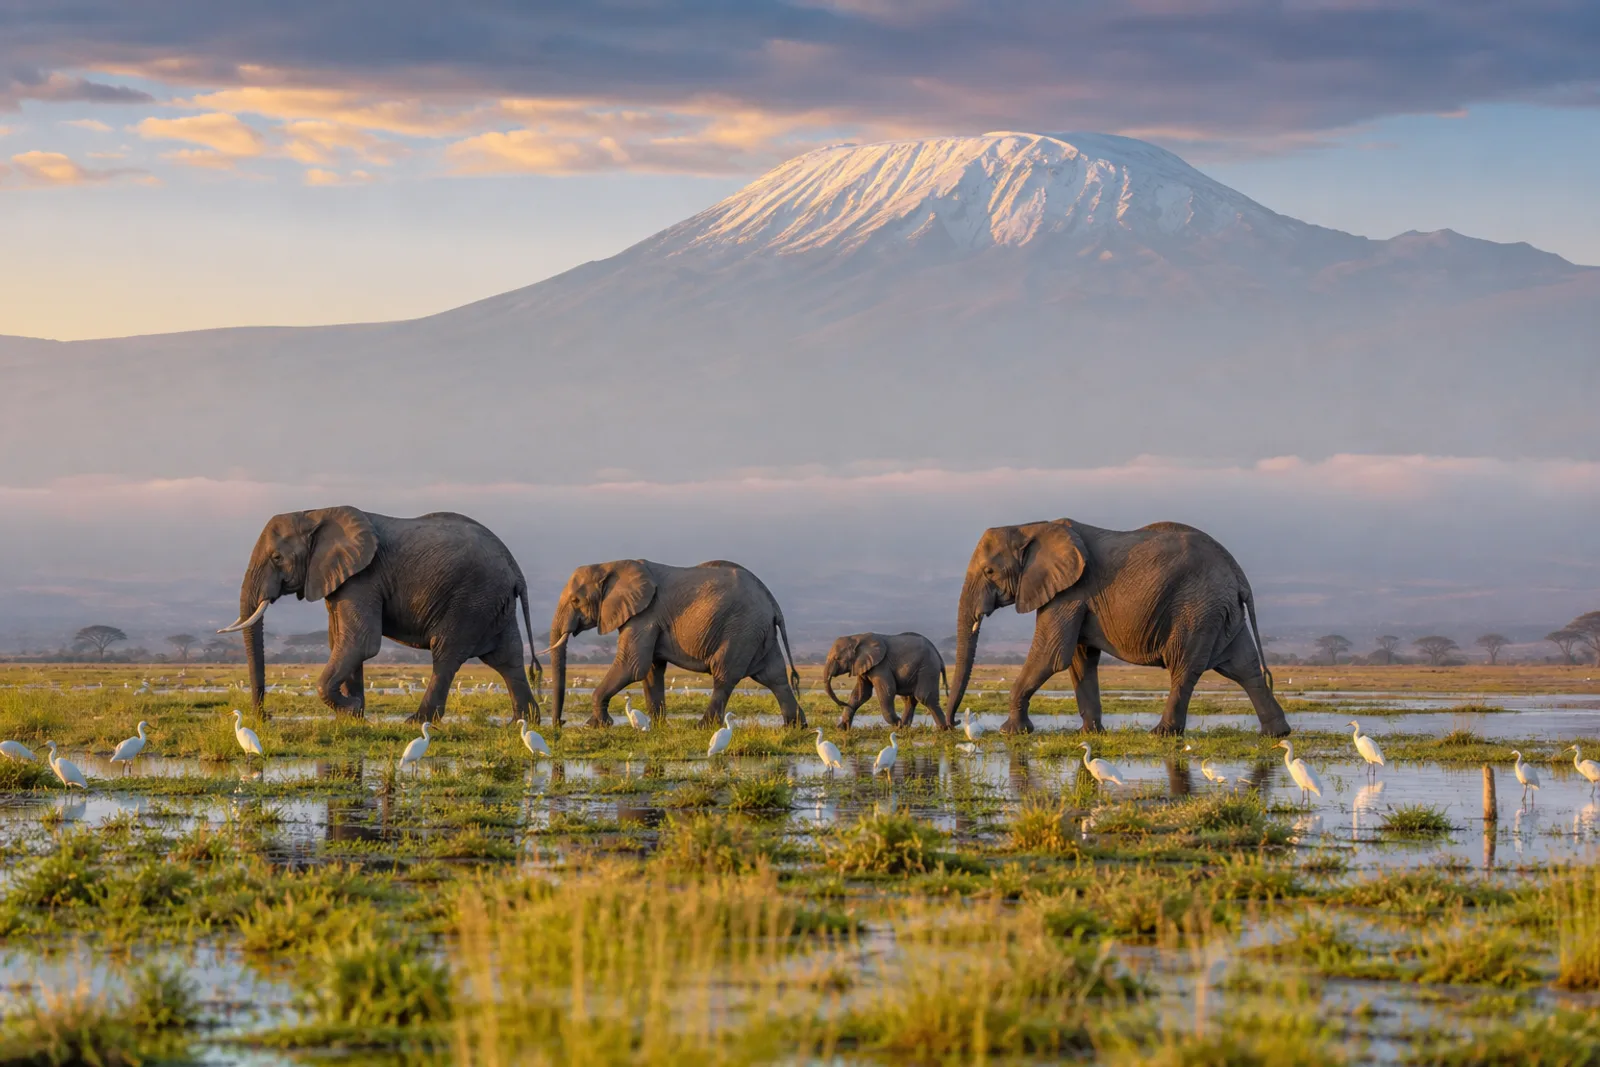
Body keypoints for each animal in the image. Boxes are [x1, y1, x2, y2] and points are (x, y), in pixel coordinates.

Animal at [219, 507, 541, 724]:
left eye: (277, 558)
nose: (265, 717)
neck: (315, 513)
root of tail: (515, 567)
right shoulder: (339, 579)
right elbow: (340, 640)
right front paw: (353, 716)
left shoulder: (364, 578)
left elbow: (360, 643)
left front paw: (351, 708)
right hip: (493, 603)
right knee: (508, 658)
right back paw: (521, 723)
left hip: (471, 599)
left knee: (446, 654)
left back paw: (417, 722)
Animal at [546, 559, 804, 729]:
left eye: (575, 600)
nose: (560, 722)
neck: (611, 564)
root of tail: (772, 602)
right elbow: (651, 670)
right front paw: (658, 725)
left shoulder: (645, 615)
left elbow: (632, 666)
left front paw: (596, 725)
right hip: (758, 633)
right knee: (774, 676)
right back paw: (795, 726)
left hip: (741, 629)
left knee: (724, 675)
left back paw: (703, 727)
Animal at [944, 519, 1290, 738]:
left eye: (989, 571)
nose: (952, 724)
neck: (1029, 526)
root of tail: (1237, 573)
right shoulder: (1075, 596)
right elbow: (1080, 660)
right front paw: (1089, 733)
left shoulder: (1069, 592)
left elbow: (1051, 655)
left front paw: (1011, 732)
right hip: (1221, 611)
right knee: (1245, 667)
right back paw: (1276, 734)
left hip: (1197, 609)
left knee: (1184, 666)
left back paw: (1161, 734)